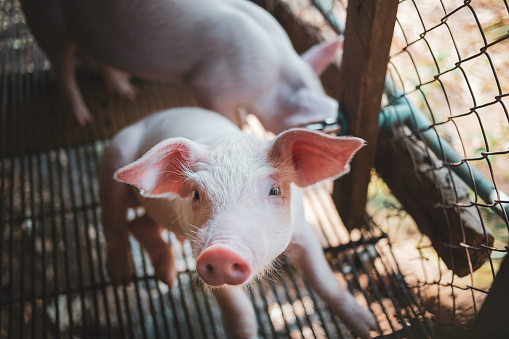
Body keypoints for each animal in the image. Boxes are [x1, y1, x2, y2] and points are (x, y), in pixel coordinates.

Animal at [19, 0, 340, 132]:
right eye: (306, 124)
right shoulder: (208, 84)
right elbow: (224, 114)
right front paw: (238, 125)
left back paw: (127, 92)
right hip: (46, 23)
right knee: (63, 68)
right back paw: (83, 119)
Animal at [100, 107, 378, 338]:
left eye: (275, 190)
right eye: (196, 194)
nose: (221, 251)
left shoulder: (303, 230)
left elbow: (324, 282)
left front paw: (369, 327)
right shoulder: (198, 252)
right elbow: (239, 311)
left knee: (138, 224)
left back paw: (166, 278)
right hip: (112, 162)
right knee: (113, 221)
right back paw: (121, 278)